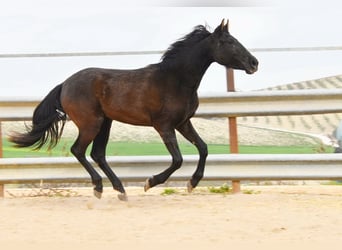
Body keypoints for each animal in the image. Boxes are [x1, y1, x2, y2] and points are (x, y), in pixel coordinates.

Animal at [10, 19, 256, 200]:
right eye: (230, 42)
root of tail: (65, 84)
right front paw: (150, 182)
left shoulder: (183, 123)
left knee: (97, 153)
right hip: (91, 124)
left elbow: (203, 148)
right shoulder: (164, 126)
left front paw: (192, 183)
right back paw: (99, 188)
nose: (254, 63)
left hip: (105, 123)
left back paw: (120, 190)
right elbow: (177, 159)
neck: (175, 80)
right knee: (79, 150)